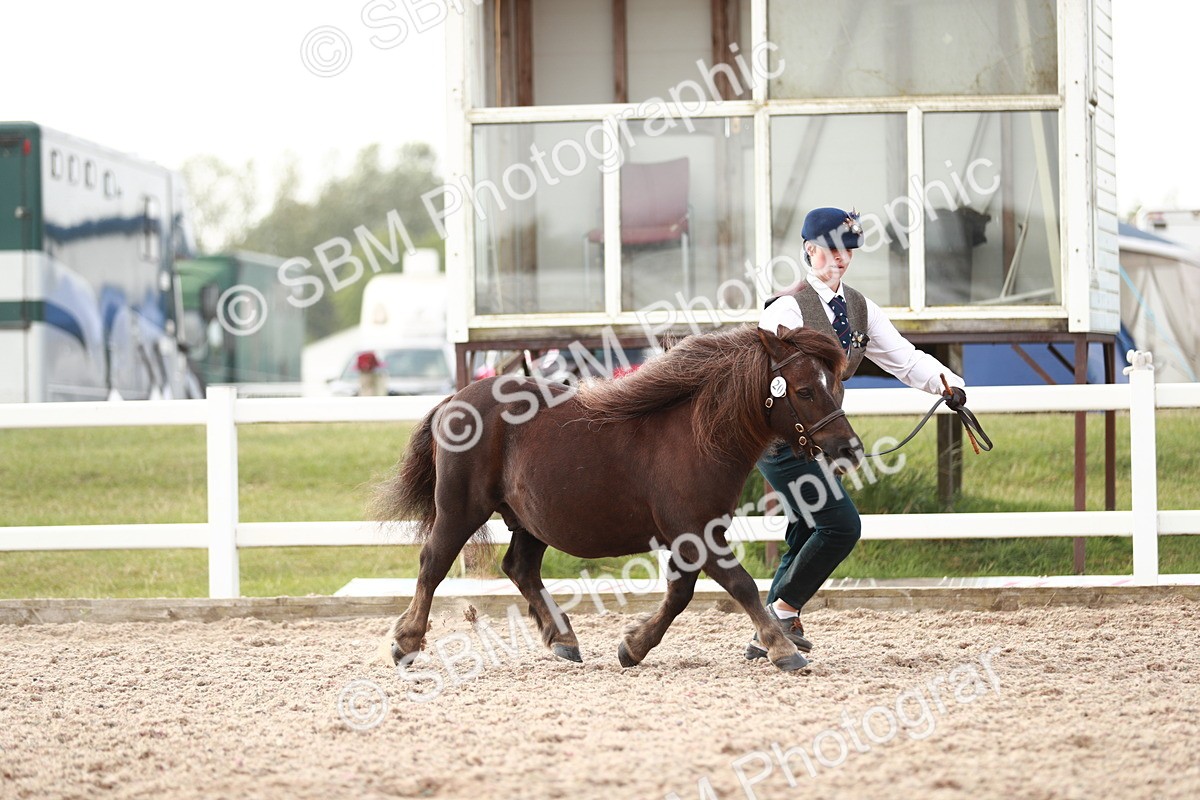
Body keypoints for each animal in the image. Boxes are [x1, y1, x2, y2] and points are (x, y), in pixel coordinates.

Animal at [372, 324, 863, 672]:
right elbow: (740, 584)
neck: (696, 436)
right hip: (459, 509)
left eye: (836, 384)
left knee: (520, 568)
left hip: (530, 520)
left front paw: (633, 647)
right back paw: (406, 642)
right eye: (804, 390)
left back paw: (564, 639)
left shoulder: (691, 538)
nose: (849, 448)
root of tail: (455, 398)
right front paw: (782, 648)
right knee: (433, 563)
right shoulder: (696, 533)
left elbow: (680, 593)